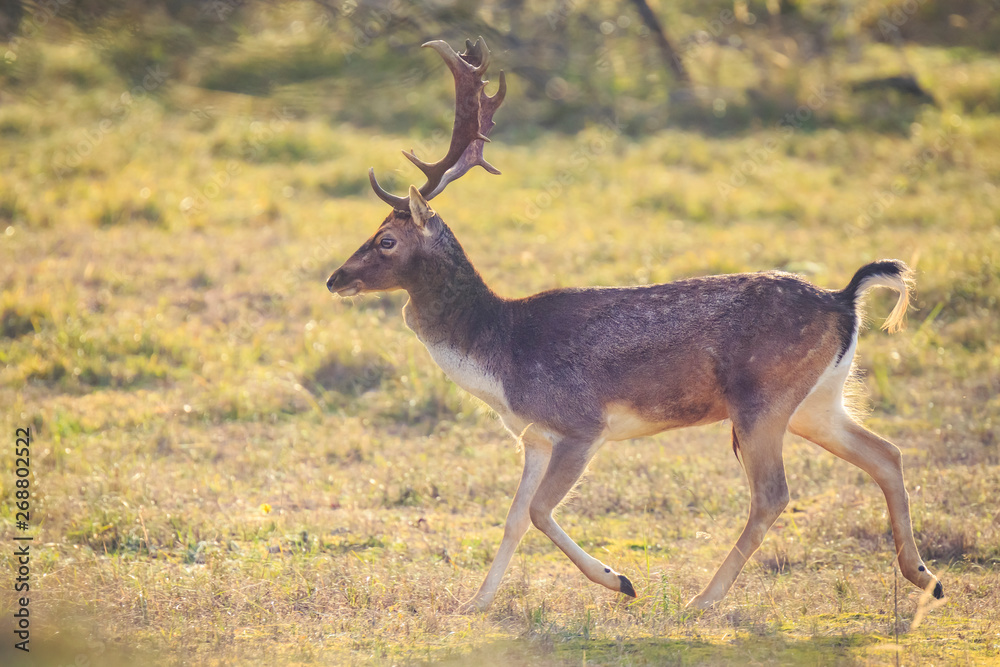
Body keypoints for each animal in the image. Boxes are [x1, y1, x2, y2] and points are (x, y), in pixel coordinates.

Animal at [325, 37, 944, 612]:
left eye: (387, 239)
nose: (334, 279)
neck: (500, 358)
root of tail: (845, 300)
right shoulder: (534, 437)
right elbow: (514, 518)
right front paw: (476, 603)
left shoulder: (581, 424)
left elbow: (540, 510)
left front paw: (619, 580)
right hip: (818, 399)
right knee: (886, 453)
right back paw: (926, 578)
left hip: (762, 398)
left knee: (772, 494)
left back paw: (702, 601)